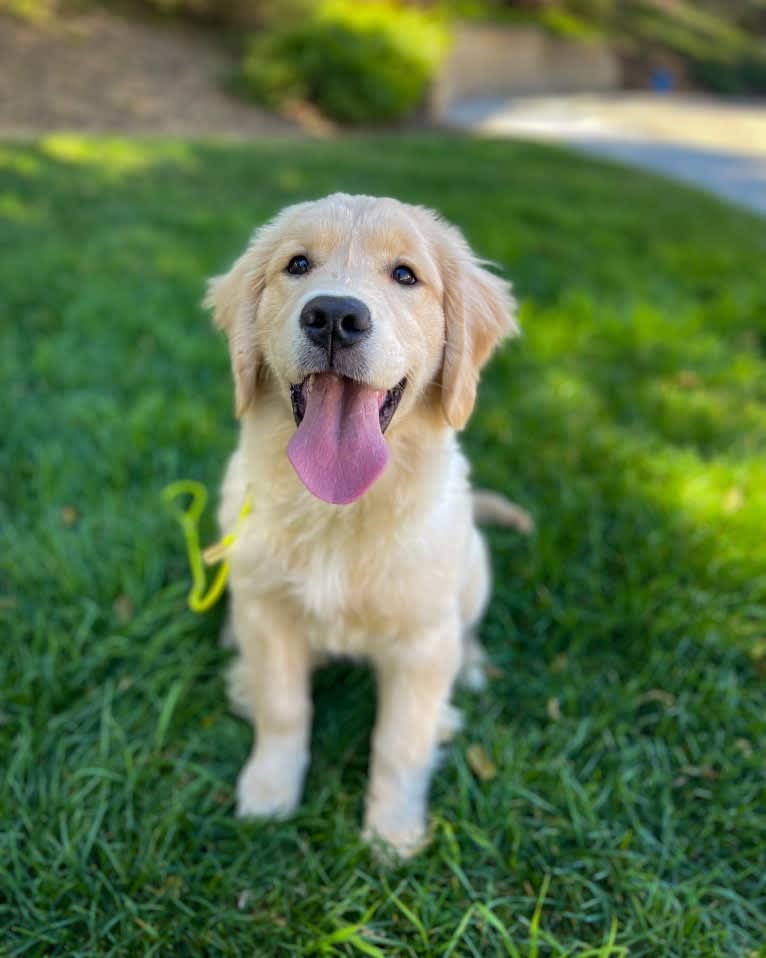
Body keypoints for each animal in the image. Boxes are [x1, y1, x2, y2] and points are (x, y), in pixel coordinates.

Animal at [204, 191, 528, 860]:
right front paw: (269, 795)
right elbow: (284, 710)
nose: (333, 316)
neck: (339, 507)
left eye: (405, 274)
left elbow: (401, 742)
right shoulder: (270, 615)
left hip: (474, 569)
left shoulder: (423, 640)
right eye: (298, 265)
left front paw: (392, 833)